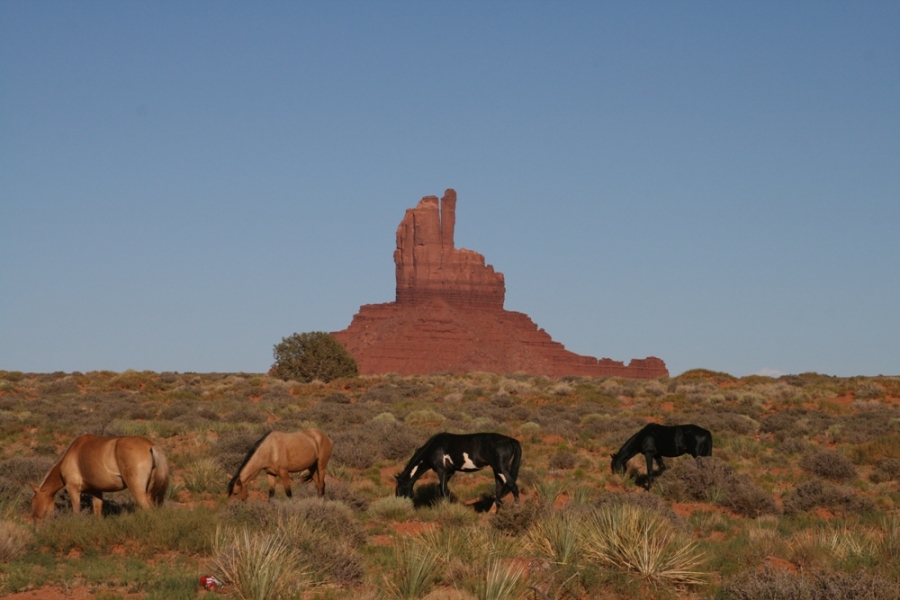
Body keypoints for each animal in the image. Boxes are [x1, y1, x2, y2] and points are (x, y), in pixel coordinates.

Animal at [30, 434, 170, 516]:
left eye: (33, 501)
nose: (36, 526)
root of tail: (151, 446)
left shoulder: (73, 489)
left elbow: (76, 512)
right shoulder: (96, 492)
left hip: (138, 491)